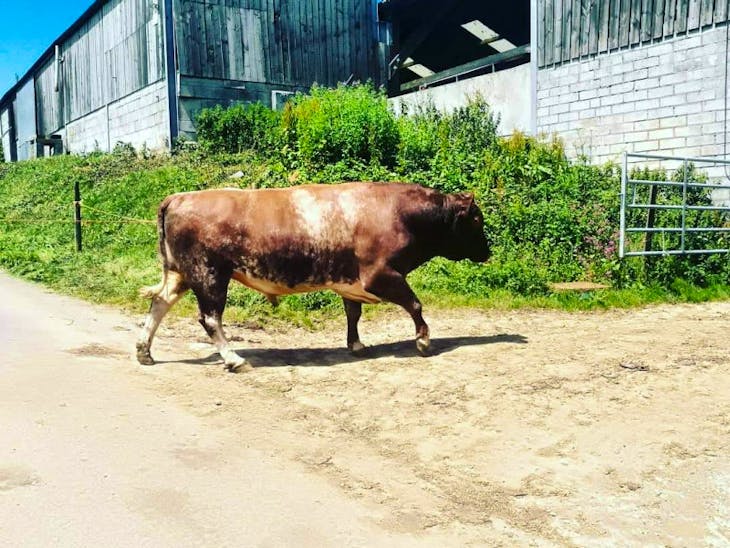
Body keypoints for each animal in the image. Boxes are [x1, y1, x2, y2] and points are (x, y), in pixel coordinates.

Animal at [136, 182, 490, 370]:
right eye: (477, 220)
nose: (488, 253)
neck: (398, 213)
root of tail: (180, 197)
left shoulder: (351, 283)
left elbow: (353, 313)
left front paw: (356, 345)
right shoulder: (380, 275)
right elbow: (415, 304)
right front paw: (423, 340)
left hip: (181, 272)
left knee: (160, 303)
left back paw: (144, 351)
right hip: (209, 274)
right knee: (209, 318)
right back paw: (234, 358)